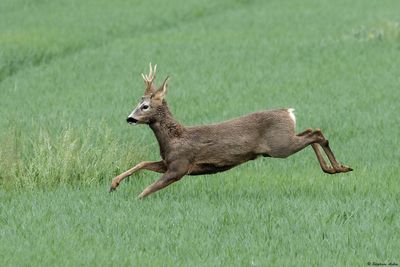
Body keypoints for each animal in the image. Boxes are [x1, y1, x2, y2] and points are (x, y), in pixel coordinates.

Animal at [108, 63, 350, 199]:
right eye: (138, 103)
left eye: (145, 106)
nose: (129, 118)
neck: (174, 139)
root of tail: (289, 112)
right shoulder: (169, 162)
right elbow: (142, 164)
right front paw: (113, 185)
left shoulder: (180, 167)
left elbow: (146, 191)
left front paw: (133, 200)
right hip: (283, 141)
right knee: (311, 131)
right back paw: (334, 169)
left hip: (280, 146)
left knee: (315, 133)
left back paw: (339, 168)